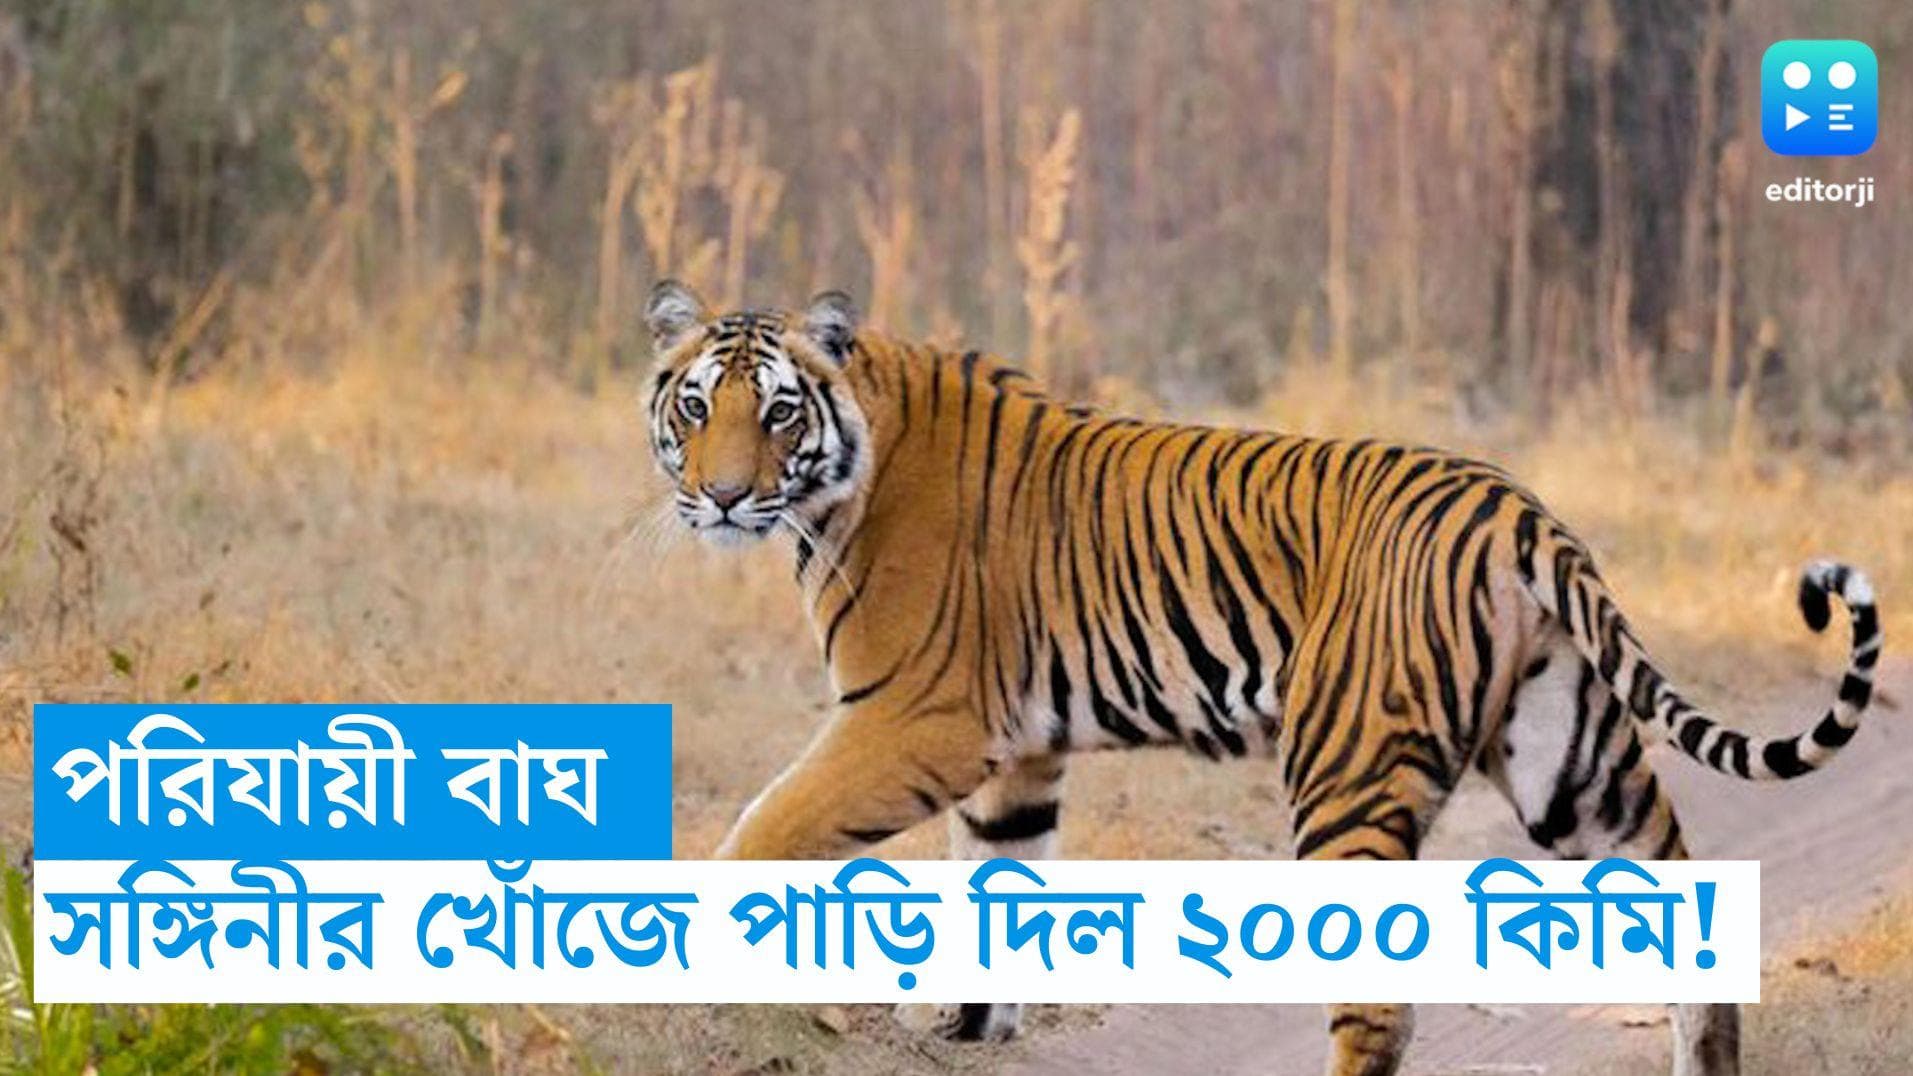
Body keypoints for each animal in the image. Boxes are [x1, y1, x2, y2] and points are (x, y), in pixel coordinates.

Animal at [640, 279, 1881, 1076]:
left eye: (777, 409)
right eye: (695, 405)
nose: (718, 495)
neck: (840, 483)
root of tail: (1514, 507)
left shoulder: (912, 719)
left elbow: (764, 830)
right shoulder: (1015, 756)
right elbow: (997, 886)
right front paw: (964, 1027)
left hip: (1346, 769)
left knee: (1378, 1011)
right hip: (1568, 762)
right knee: (1687, 923)